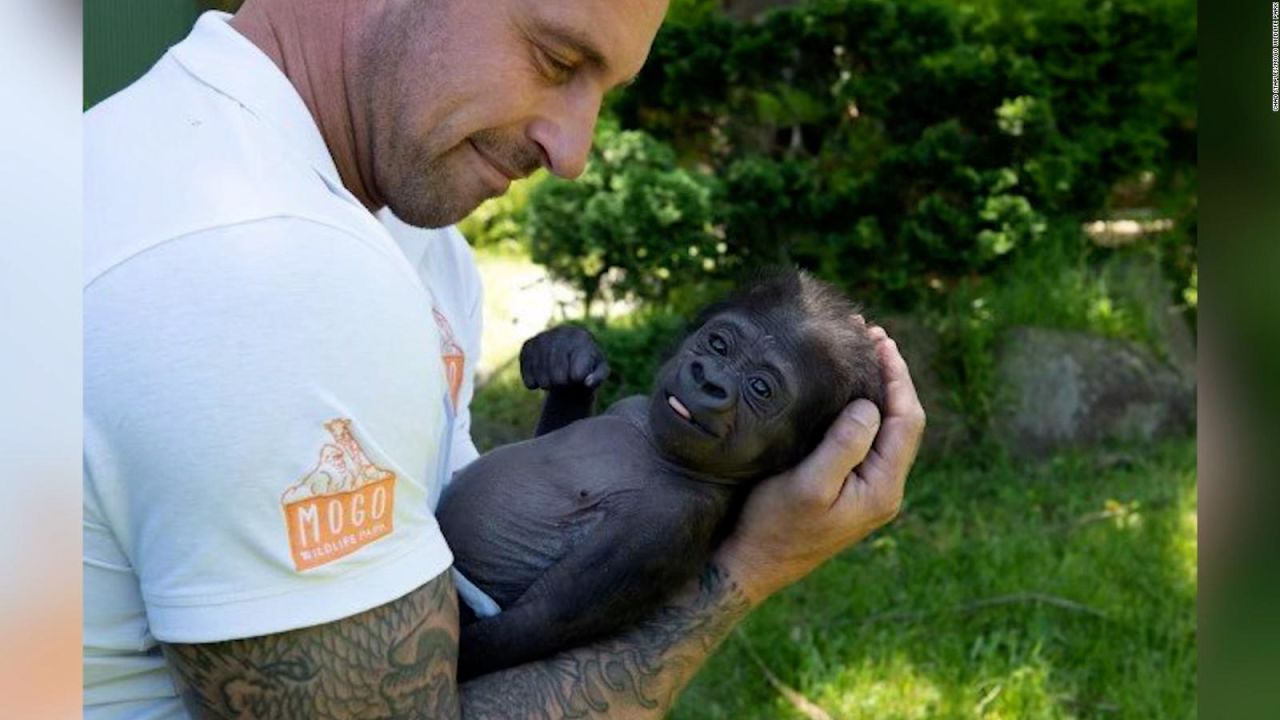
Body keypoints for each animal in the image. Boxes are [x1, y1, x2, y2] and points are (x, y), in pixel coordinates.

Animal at [437, 266, 880, 676]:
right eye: (719, 345)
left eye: (760, 388)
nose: (710, 379)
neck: (661, 450)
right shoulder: (634, 408)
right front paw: (567, 361)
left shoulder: (671, 519)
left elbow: (539, 619)